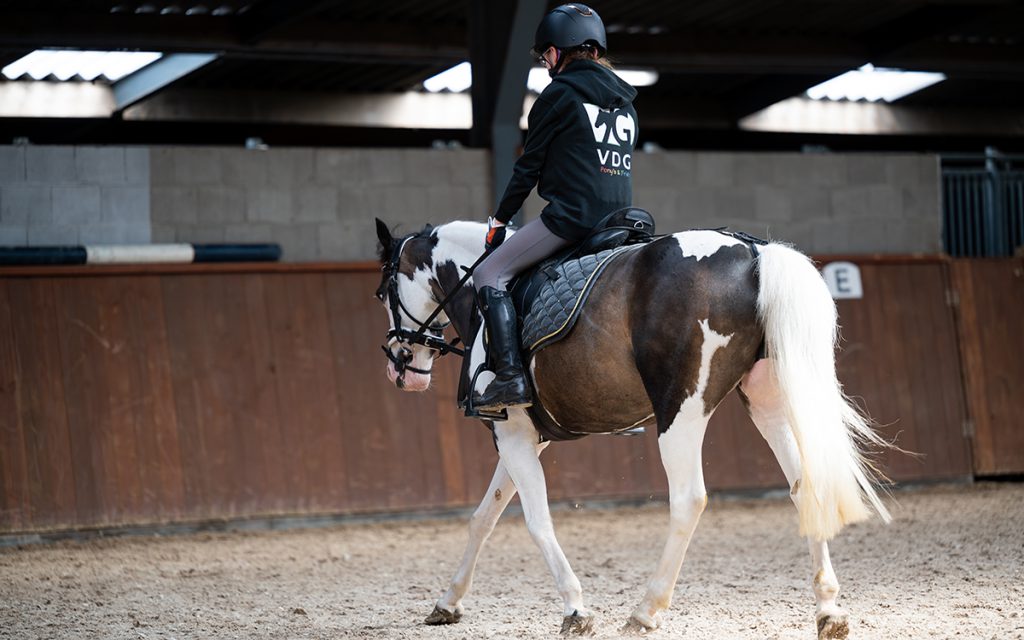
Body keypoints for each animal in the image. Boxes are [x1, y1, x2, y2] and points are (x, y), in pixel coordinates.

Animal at [376, 217, 888, 634]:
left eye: (383, 294)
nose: (401, 367)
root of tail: (754, 253)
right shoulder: (521, 436)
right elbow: (484, 518)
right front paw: (447, 603)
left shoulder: (514, 434)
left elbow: (537, 521)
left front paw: (575, 609)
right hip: (768, 399)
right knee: (806, 485)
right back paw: (828, 609)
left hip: (681, 410)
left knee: (689, 499)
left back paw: (646, 610)